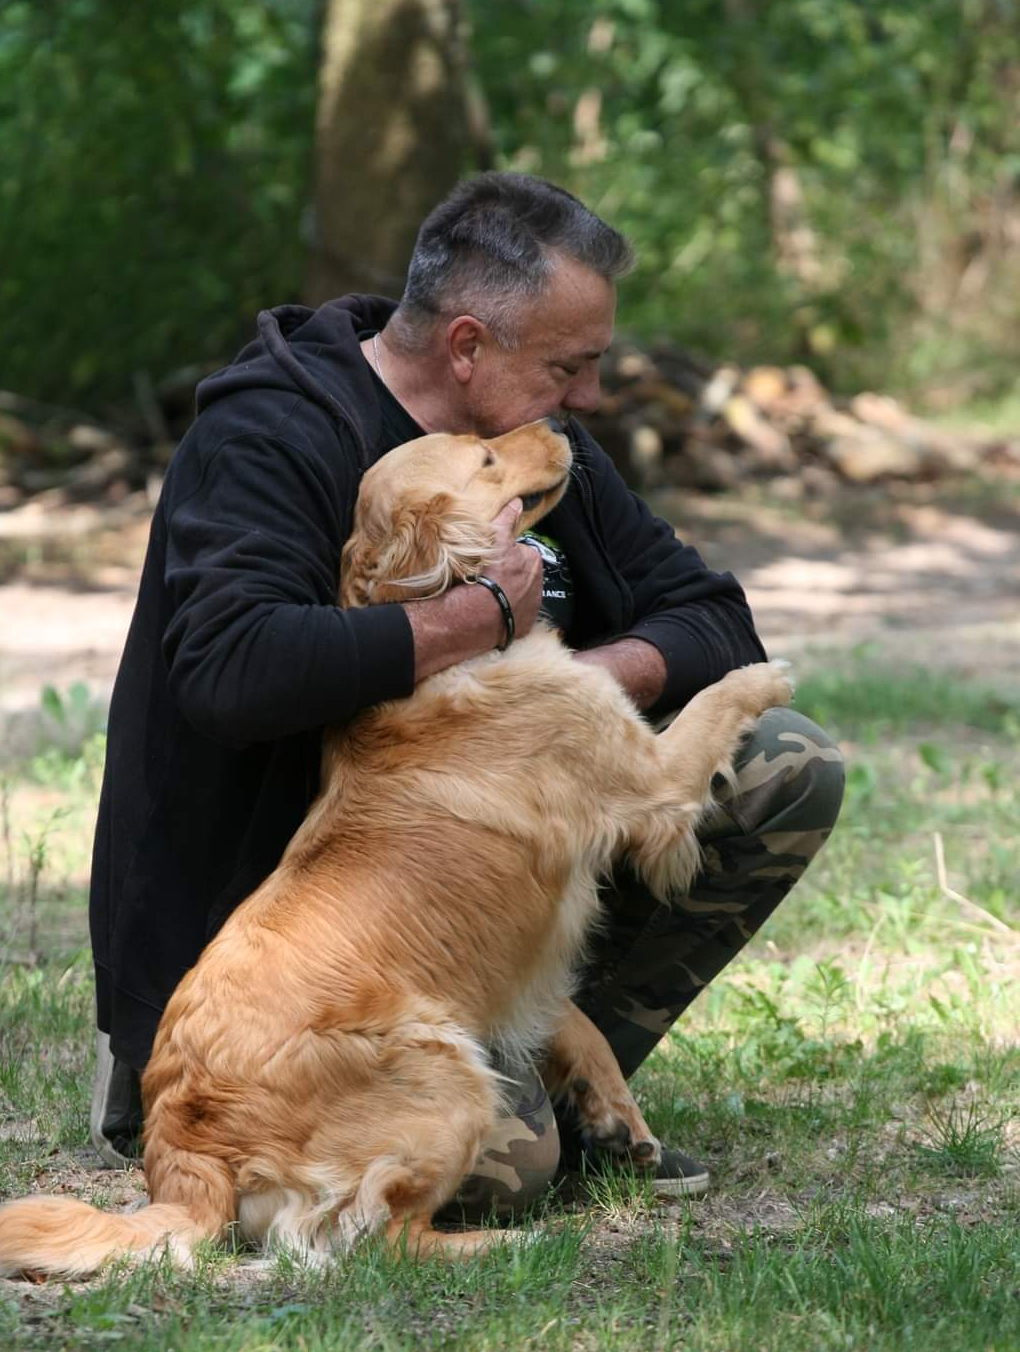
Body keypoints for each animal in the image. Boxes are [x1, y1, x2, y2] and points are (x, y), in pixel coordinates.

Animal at [0, 416, 790, 1270]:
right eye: (485, 455)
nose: (560, 424)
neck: (454, 642)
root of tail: (183, 1161)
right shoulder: (653, 778)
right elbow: (715, 703)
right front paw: (768, 677)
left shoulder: (525, 970)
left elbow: (576, 1022)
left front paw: (620, 1118)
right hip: (449, 1078)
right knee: (383, 1238)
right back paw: (518, 1241)